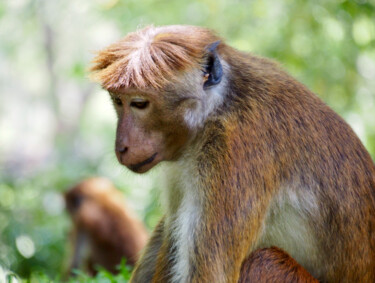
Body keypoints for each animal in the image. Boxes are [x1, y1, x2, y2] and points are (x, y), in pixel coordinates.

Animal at [89, 25, 375, 282]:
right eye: (118, 101)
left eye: (139, 104)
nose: (121, 146)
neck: (218, 106)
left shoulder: (234, 150)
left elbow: (210, 275)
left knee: (264, 261)